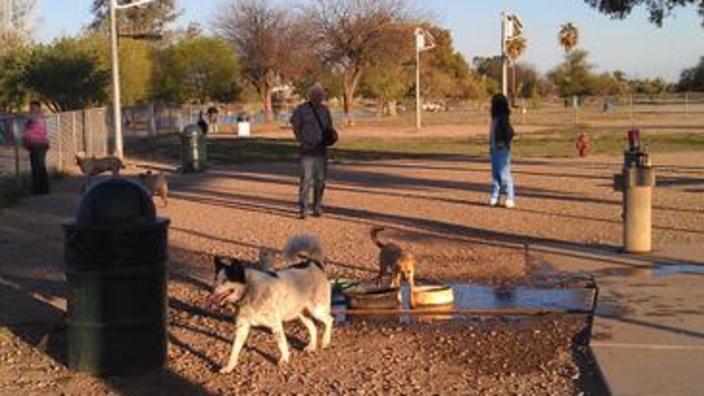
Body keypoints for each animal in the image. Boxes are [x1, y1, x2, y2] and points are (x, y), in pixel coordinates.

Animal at [210, 235, 334, 374]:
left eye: (225, 280)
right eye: (216, 279)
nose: (211, 290)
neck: (249, 290)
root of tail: (313, 263)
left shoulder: (275, 324)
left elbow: (281, 343)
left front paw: (284, 360)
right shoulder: (242, 327)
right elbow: (234, 350)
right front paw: (229, 367)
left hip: (316, 309)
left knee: (329, 320)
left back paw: (325, 341)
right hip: (302, 313)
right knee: (313, 327)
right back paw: (312, 347)